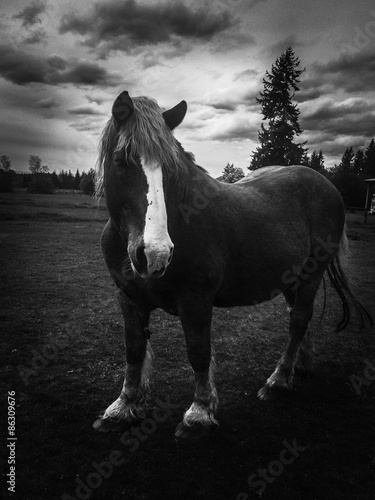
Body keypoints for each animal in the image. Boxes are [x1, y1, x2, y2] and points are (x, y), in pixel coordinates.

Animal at [93, 90, 374, 438]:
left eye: (170, 169)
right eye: (121, 161)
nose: (156, 254)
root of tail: (327, 185)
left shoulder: (196, 300)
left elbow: (199, 352)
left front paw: (199, 412)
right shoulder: (129, 299)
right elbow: (133, 350)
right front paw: (123, 407)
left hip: (311, 274)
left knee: (298, 319)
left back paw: (279, 380)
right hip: (292, 278)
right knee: (300, 317)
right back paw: (300, 364)